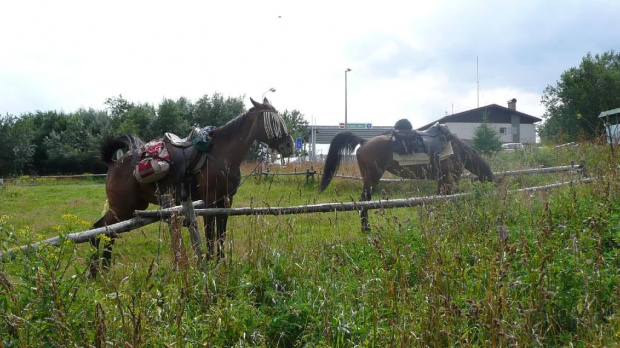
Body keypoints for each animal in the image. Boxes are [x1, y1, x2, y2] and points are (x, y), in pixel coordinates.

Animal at [90, 97, 296, 274]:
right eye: (272, 121)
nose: (289, 145)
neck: (222, 154)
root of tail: (114, 163)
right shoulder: (210, 202)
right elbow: (210, 234)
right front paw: (211, 263)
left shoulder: (225, 201)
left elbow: (221, 233)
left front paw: (221, 263)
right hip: (121, 207)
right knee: (99, 230)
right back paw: (96, 272)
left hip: (130, 207)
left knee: (108, 233)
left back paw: (103, 270)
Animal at [320, 126, 494, 232]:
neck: (459, 150)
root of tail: (364, 141)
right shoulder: (451, 179)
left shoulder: (442, 181)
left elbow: (438, 200)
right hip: (372, 178)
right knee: (364, 201)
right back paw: (366, 228)